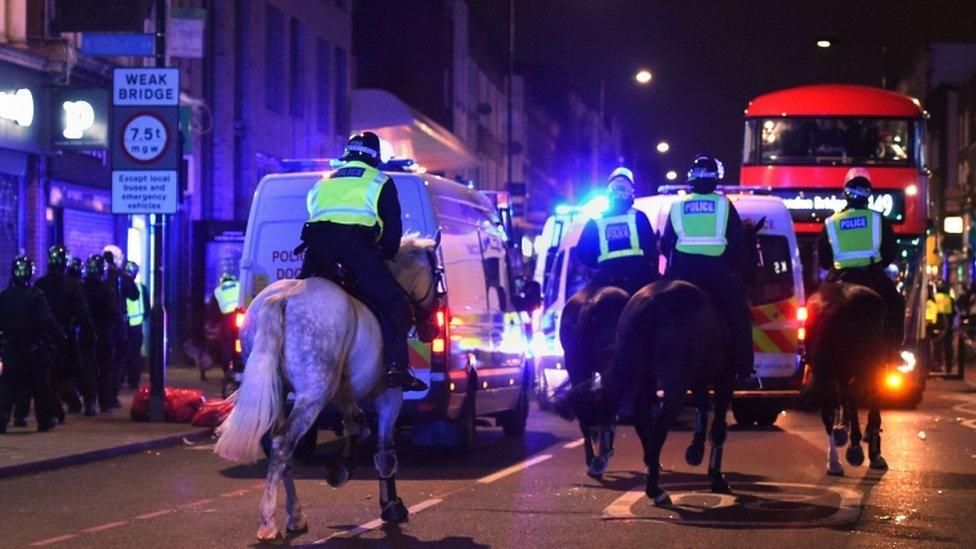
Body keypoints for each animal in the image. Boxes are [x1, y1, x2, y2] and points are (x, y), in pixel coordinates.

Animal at [219, 233, 440, 540]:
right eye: (438, 274)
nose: (432, 328)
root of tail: (280, 298)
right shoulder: (389, 394)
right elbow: (384, 451)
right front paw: (391, 506)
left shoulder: (344, 392)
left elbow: (355, 424)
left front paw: (342, 469)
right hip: (313, 395)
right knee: (283, 443)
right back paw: (268, 521)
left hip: (280, 394)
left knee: (282, 449)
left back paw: (295, 516)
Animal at [804, 280, 888, 474]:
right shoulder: (873, 369)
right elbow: (867, 404)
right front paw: (868, 449)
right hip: (863, 366)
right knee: (855, 398)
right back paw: (855, 445)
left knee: (831, 405)